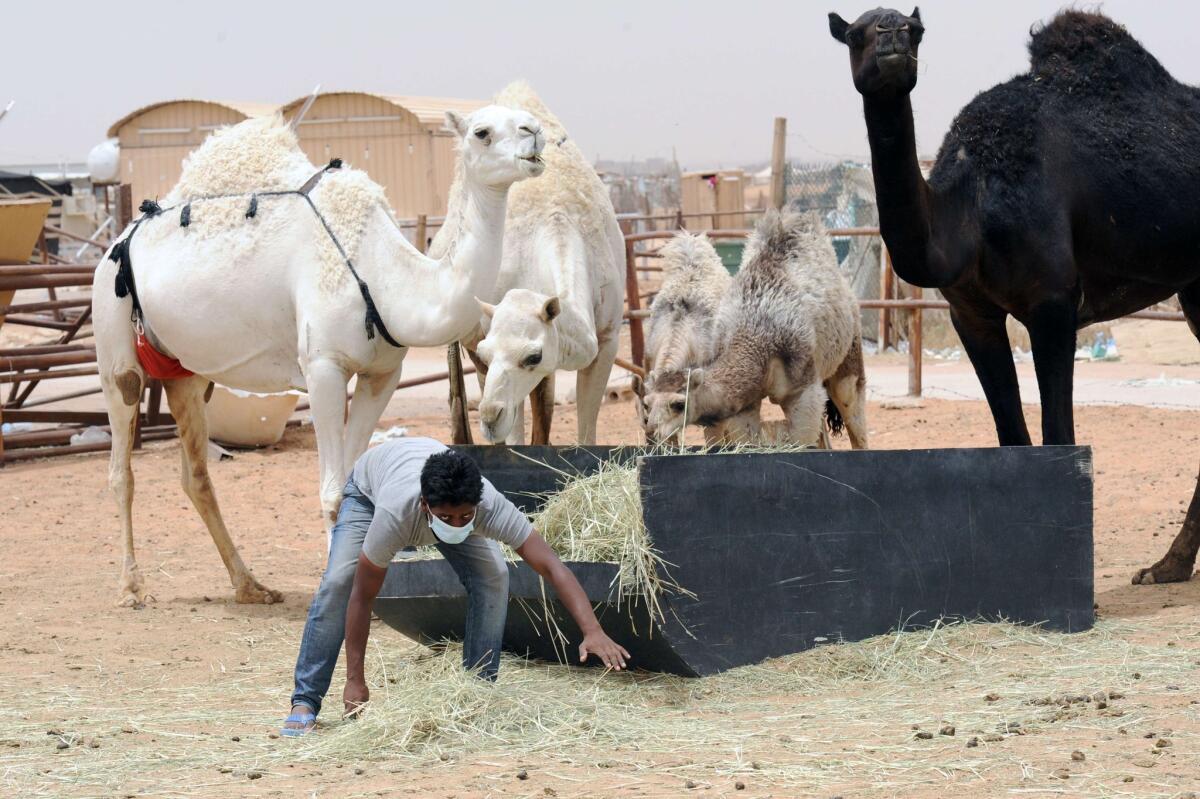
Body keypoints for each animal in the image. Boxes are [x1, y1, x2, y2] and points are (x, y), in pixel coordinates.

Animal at [93, 105, 544, 604]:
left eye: (526, 118)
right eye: (482, 132)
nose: (536, 134)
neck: (389, 274)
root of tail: (117, 242)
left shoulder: (382, 374)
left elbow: (353, 481)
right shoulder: (323, 367)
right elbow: (331, 491)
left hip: (186, 373)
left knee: (195, 474)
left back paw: (250, 586)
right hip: (115, 344)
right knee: (121, 466)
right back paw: (133, 587)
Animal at [446, 81, 624, 443]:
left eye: (533, 355)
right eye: (487, 350)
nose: (489, 416)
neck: (558, 220)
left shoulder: (608, 339)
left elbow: (586, 431)